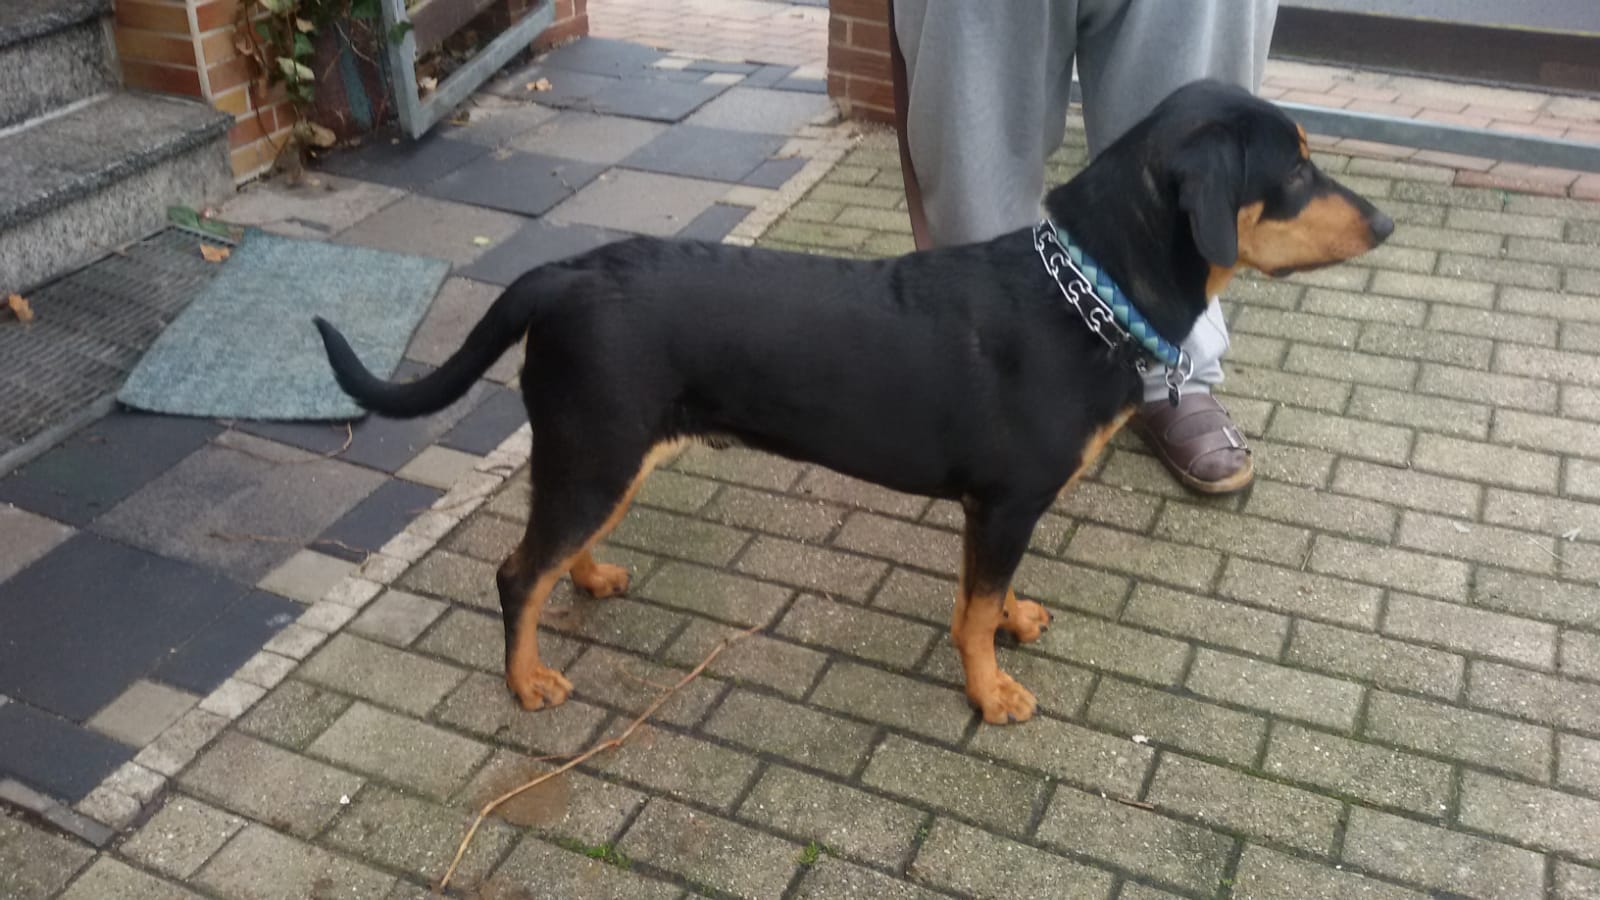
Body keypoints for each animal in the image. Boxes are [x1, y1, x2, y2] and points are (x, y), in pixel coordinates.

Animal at [315, 80, 1391, 726]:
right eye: (1296, 168)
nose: (1385, 223)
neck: (1083, 295)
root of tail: (562, 273)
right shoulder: (1007, 502)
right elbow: (971, 611)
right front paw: (990, 691)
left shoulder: (995, 514)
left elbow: (985, 596)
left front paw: (1012, 624)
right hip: (591, 453)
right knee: (515, 574)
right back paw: (526, 678)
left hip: (606, 459)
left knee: (555, 559)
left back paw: (591, 580)